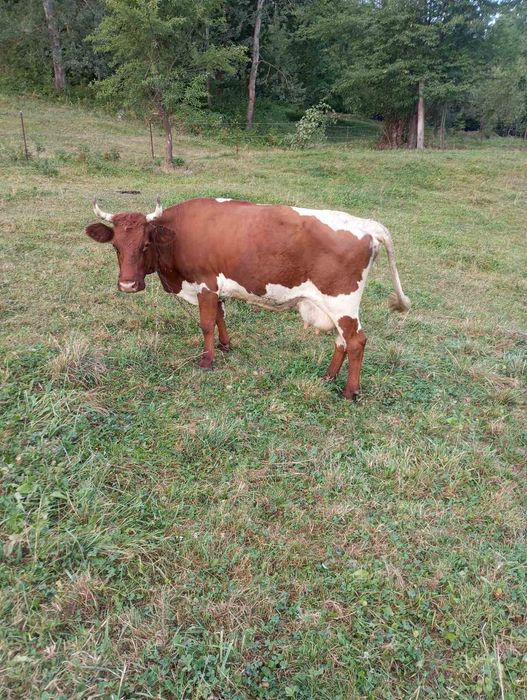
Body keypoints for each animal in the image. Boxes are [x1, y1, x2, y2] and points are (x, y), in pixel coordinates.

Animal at [86, 196, 410, 399]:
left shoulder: (204, 284)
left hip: (342, 302)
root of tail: (365, 224)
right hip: (332, 306)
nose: (128, 285)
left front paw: (207, 361)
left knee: (355, 341)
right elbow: (220, 317)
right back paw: (328, 377)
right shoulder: (216, 289)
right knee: (342, 341)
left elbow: (206, 324)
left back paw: (349, 391)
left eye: (145, 244)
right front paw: (226, 346)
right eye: (115, 246)